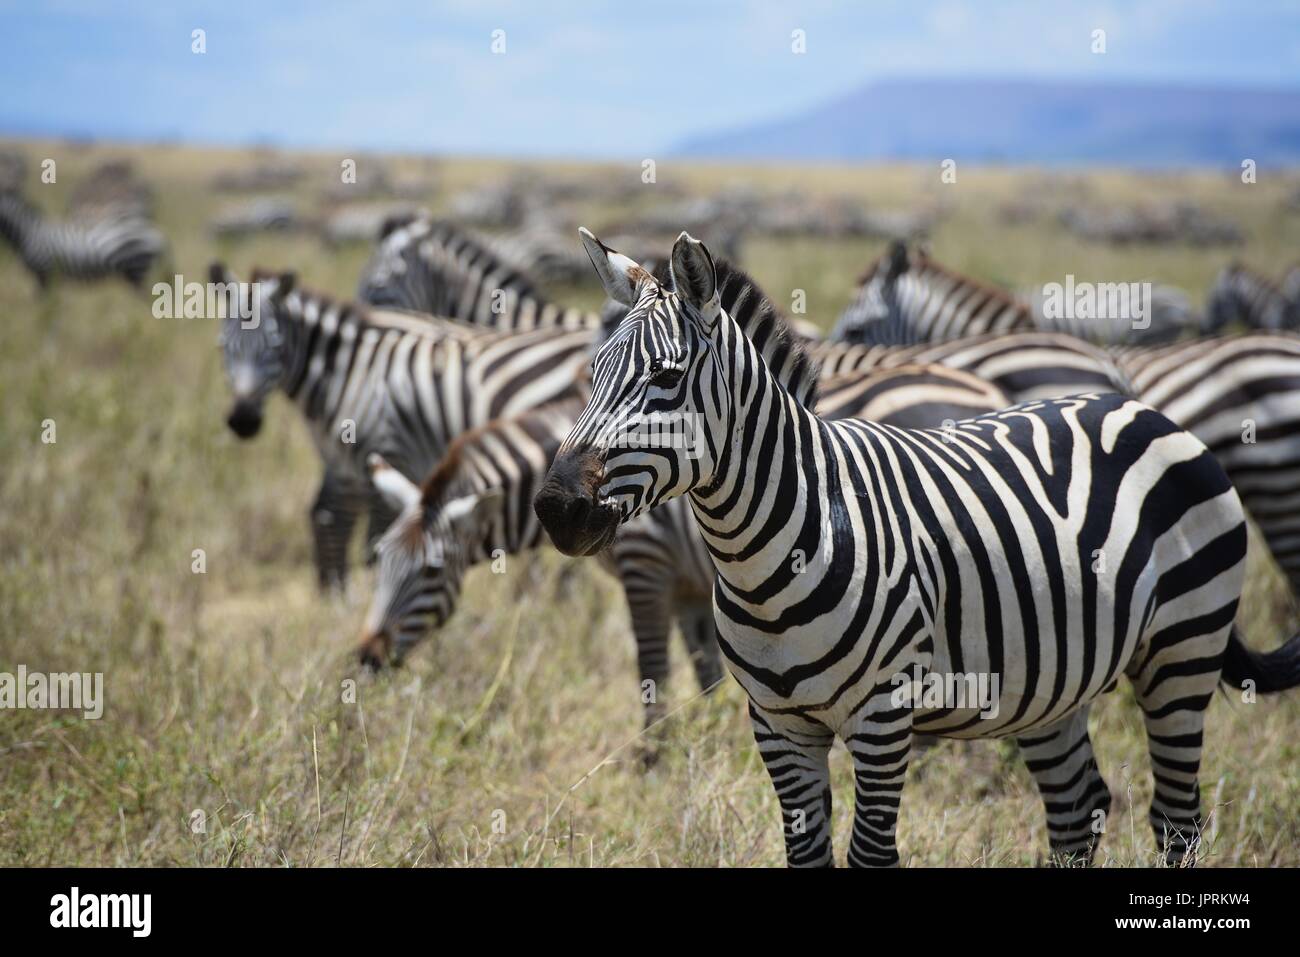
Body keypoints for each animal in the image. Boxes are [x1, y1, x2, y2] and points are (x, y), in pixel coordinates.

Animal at [211, 263, 590, 590]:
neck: (351, 372)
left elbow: (369, 540)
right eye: (223, 347)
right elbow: (332, 518)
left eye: (274, 346)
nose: (243, 421)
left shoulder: (389, 453)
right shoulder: (348, 464)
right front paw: (340, 598)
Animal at [361, 361, 1008, 738]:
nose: (367, 658)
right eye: (379, 562)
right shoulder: (700, 587)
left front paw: (654, 760)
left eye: (431, 572)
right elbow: (707, 677)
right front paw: (714, 748)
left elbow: (653, 674)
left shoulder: (646, 569)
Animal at [530, 231, 1300, 868]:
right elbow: (806, 855)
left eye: (665, 378)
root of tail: (1139, 407)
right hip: (1057, 683)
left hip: (1182, 649)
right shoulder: (778, 725)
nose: (557, 507)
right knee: (1079, 811)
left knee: (1176, 820)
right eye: (592, 374)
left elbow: (872, 854)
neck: (772, 554)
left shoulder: (882, 716)